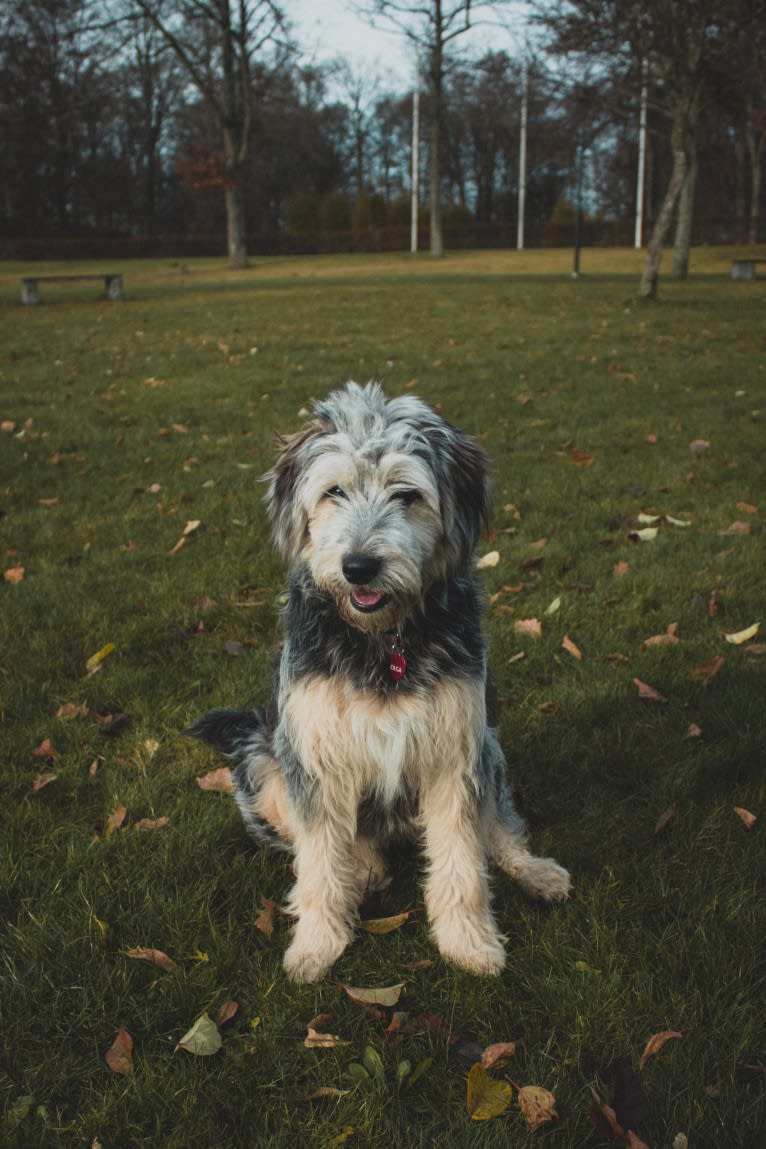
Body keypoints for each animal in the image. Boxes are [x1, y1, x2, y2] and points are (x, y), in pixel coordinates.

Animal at [187, 381, 569, 983]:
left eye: (406, 494)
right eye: (334, 491)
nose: (359, 566)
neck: (383, 642)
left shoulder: (455, 749)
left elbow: (464, 860)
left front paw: (468, 942)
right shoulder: (315, 756)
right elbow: (319, 863)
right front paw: (317, 944)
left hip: (489, 746)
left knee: (500, 827)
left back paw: (534, 871)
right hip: (263, 764)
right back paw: (363, 870)